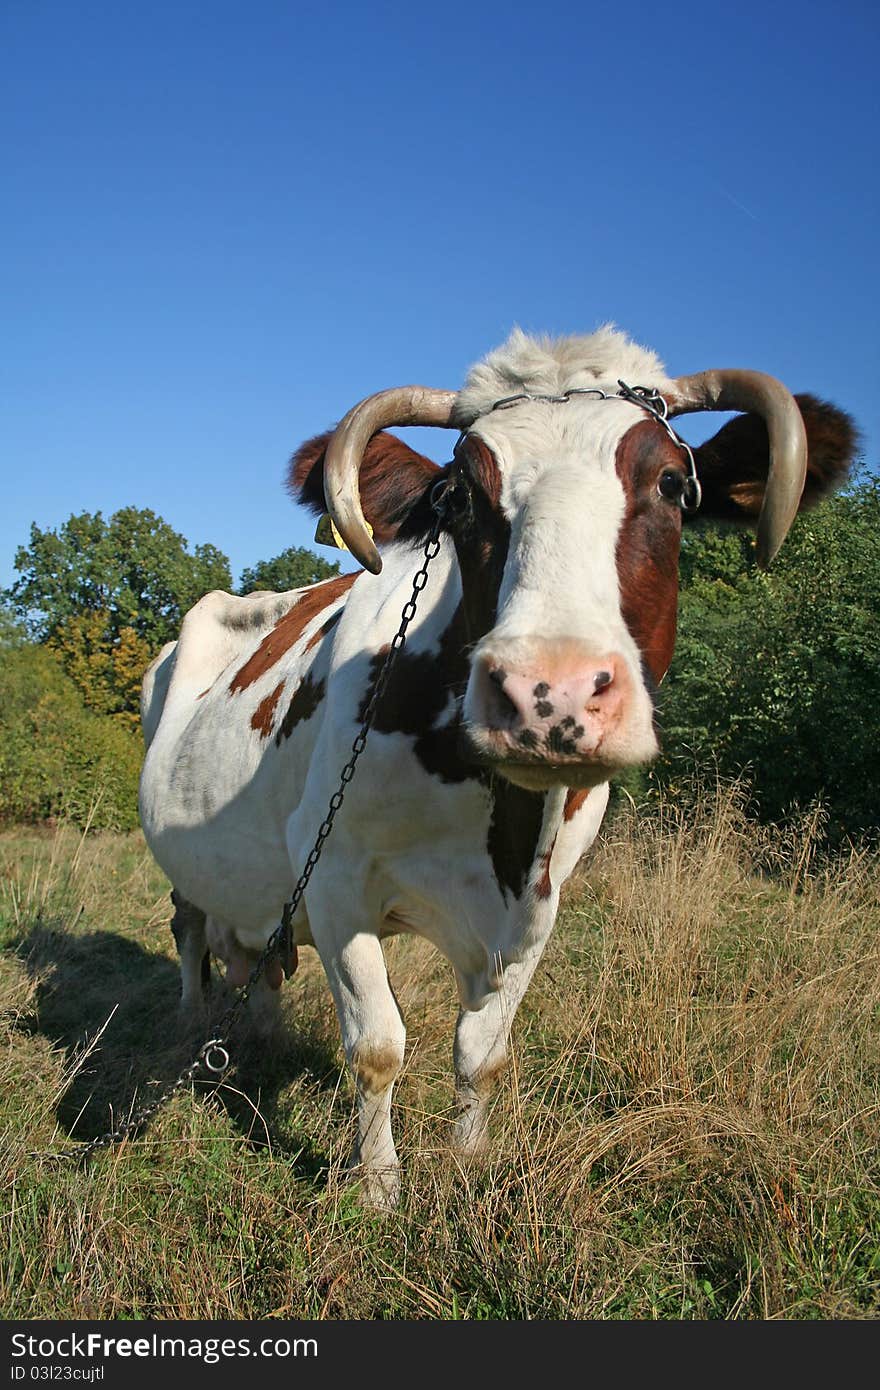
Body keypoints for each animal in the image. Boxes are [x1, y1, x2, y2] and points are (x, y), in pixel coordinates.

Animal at [137, 325, 850, 1206]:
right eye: (464, 498)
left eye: (672, 483)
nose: (550, 691)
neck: (499, 825)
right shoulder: (333, 873)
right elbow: (378, 1046)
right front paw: (380, 1190)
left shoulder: (540, 897)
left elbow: (483, 1050)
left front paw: (470, 1161)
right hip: (187, 865)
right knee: (188, 927)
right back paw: (191, 1020)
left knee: (265, 953)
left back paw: (263, 1034)